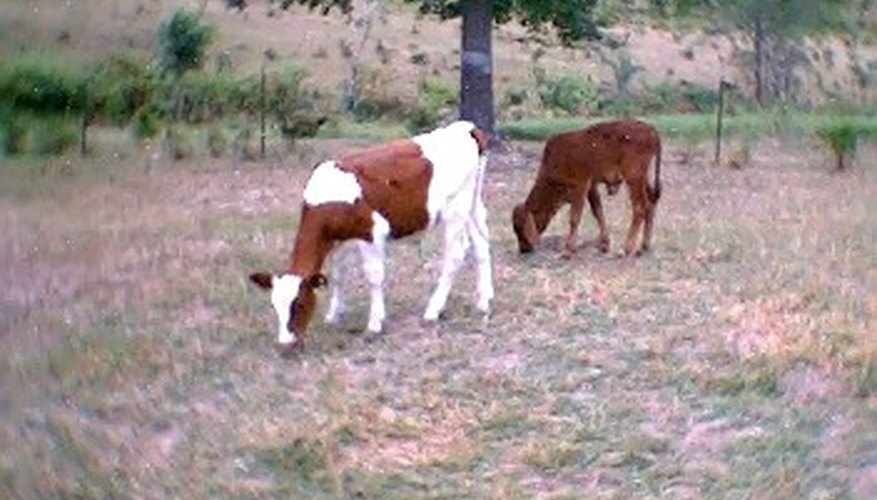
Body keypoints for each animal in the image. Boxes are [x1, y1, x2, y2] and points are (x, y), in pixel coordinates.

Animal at [250, 121, 492, 352]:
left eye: (299, 304)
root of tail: (465, 127)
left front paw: (375, 323)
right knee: (481, 244)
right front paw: (334, 315)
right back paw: (484, 301)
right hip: (472, 204)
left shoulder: (372, 232)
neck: (328, 200)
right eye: (274, 306)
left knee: (456, 254)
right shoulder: (341, 240)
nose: (285, 343)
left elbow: (374, 277)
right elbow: (339, 275)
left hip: (455, 210)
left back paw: (433, 310)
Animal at [510, 118, 660, 256]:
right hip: (642, 178)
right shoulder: (591, 186)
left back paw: (625, 249)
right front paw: (604, 245)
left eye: (520, 229)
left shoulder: (580, 184)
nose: (524, 249)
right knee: (651, 201)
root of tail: (651, 130)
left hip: (633, 178)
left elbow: (574, 217)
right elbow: (598, 211)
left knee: (640, 207)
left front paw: (568, 250)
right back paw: (644, 246)